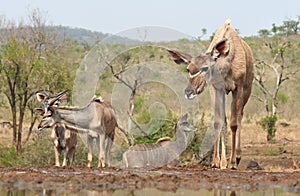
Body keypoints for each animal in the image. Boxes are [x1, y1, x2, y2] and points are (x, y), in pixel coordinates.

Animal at [168, 20, 254, 170]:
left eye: (205, 68)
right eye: (188, 69)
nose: (188, 92)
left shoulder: (238, 88)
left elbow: (234, 123)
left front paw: (232, 162)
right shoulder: (216, 88)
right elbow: (218, 122)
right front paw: (216, 162)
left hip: (247, 90)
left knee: (239, 116)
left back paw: (237, 156)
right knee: (225, 120)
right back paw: (224, 162)